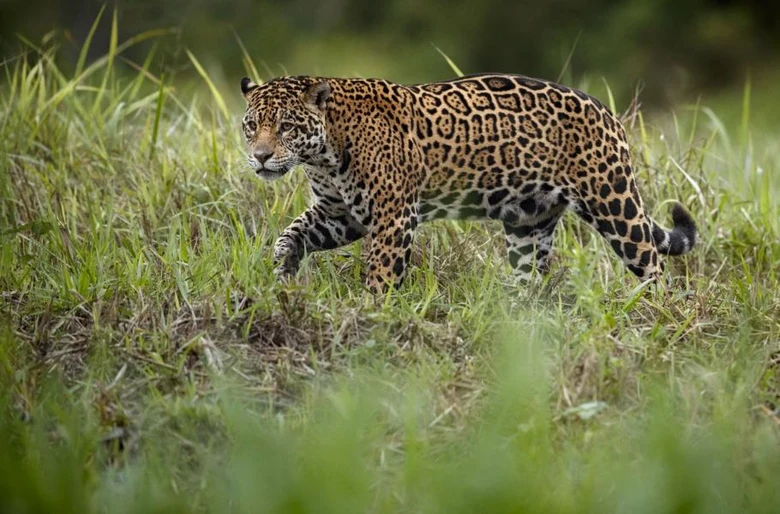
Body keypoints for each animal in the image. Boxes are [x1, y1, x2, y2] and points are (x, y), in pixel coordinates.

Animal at [239, 74, 697, 294]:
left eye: (286, 126)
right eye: (251, 126)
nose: (260, 156)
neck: (323, 153)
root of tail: (609, 112)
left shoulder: (393, 217)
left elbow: (381, 274)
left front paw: (371, 313)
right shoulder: (338, 214)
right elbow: (293, 232)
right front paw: (283, 269)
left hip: (614, 204)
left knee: (654, 267)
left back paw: (658, 317)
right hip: (528, 222)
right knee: (530, 277)